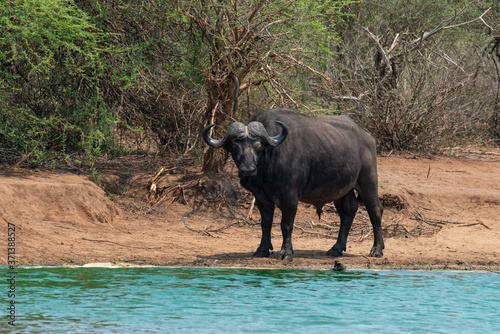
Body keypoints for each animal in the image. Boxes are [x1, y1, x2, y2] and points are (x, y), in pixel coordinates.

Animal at [202, 109, 382, 260]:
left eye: (258, 146)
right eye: (235, 147)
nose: (247, 170)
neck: (268, 163)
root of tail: (367, 137)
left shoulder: (290, 196)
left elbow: (286, 225)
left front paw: (286, 252)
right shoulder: (261, 197)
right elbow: (265, 223)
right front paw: (262, 249)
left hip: (368, 181)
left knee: (375, 212)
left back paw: (377, 250)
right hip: (341, 191)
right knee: (347, 214)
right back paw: (336, 248)